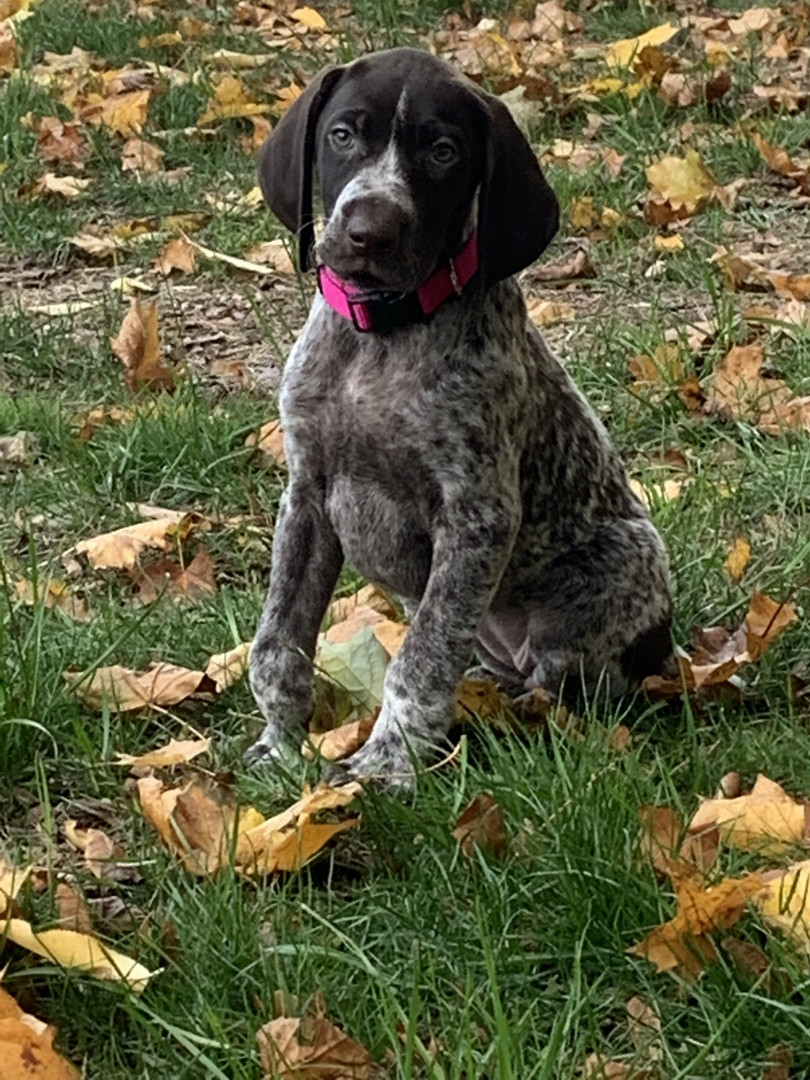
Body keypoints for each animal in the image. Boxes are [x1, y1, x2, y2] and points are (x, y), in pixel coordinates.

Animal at [247, 47, 672, 785]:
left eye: (442, 152)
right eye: (341, 135)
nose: (368, 231)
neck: (383, 334)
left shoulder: (476, 516)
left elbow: (420, 663)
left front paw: (384, 766)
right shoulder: (306, 498)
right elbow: (278, 642)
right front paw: (280, 746)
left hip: (619, 564)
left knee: (565, 688)